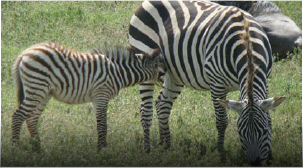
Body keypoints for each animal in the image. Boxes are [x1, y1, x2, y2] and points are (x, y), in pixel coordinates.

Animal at [11, 42, 164, 151]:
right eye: (165, 68)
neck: (118, 72)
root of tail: (24, 53)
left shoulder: (97, 98)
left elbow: (101, 123)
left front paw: (102, 147)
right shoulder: (102, 94)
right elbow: (102, 124)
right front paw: (101, 150)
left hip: (43, 93)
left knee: (32, 118)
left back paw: (38, 148)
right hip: (36, 88)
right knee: (18, 116)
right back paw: (16, 149)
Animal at [129, 0, 286, 165]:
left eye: (264, 131)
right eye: (240, 132)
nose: (255, 163)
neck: (246, 40)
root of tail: (146, 2)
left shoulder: (265, 80)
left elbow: (269, 117)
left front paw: (270, 156)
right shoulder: (217, 84)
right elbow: (222, 121)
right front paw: (221, 153)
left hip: (174, 74)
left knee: (162, 105)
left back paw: (166, 145)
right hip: (146, 60)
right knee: (145, 109)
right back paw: (147, 149)